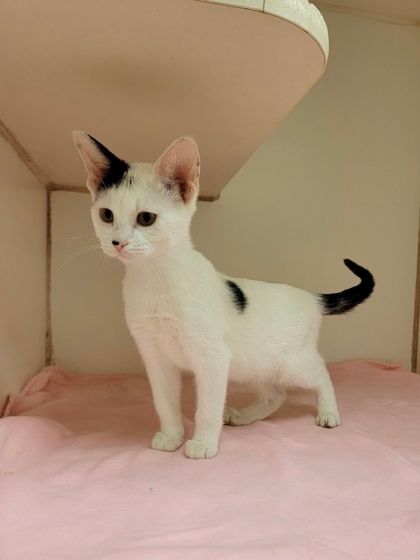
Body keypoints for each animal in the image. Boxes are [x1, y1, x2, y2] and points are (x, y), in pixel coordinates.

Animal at [73, 131, 374, 460]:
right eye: (106, 215)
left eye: (146, 218)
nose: (117, 243)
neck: (155, 277)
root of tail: (310, 297)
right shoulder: (155, 356)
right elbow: (164, 402)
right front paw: (171, 435)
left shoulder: (214, 356)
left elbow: (208, 407)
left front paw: (203, 443)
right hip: (253, 364)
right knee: (276, 393)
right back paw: (244, 416)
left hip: (290, 363)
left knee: (321, 373)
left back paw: (329, 412)